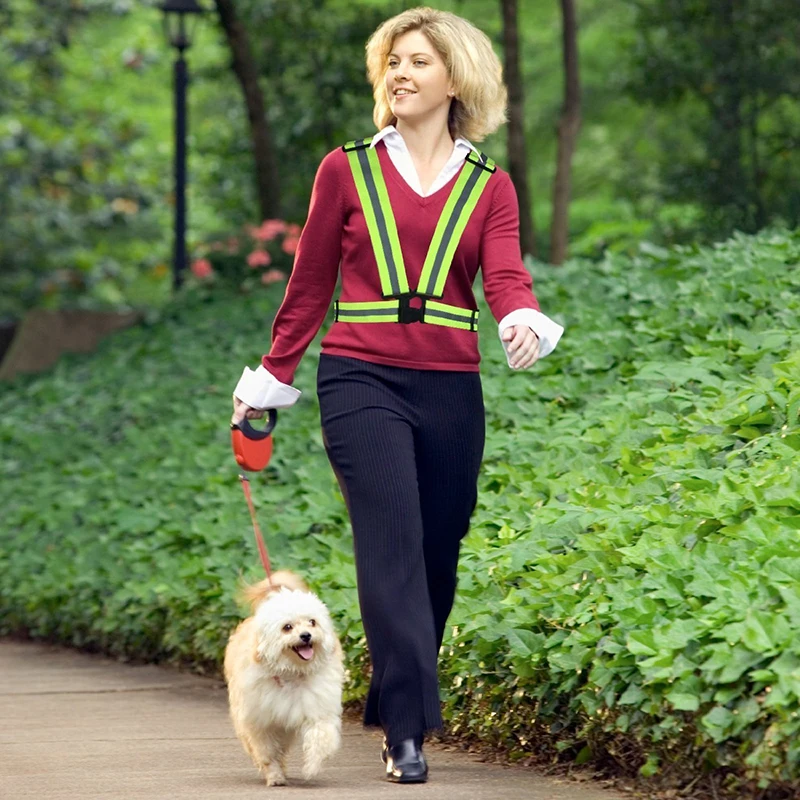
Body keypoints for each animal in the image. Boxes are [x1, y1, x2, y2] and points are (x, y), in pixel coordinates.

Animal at [222, 568, 344, 788]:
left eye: (312, 622)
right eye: (287, 627)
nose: (306, 635)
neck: (292, 673)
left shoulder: (318, 709)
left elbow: (320, 737)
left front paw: (311, 767)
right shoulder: (261, 722)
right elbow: (267, 752)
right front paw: (275, 776)